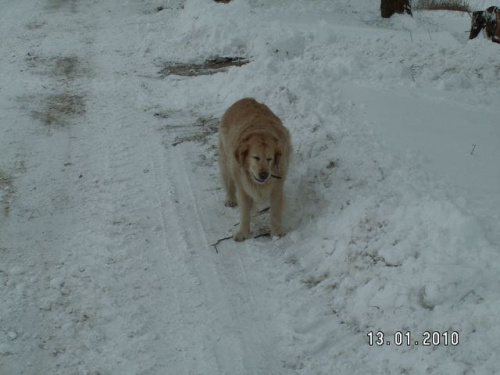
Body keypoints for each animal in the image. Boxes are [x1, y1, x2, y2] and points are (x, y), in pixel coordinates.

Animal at [220, 98, 292, 242]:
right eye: (256, 157)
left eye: (270, 159)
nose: (264, 174)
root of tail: (246, 98)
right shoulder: (242, 187)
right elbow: (244, 212)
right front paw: (243, 232)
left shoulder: (277, 186)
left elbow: (275, 210)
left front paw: (277, 232)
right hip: (226, 160)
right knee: (228, 181)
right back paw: (230, 199)